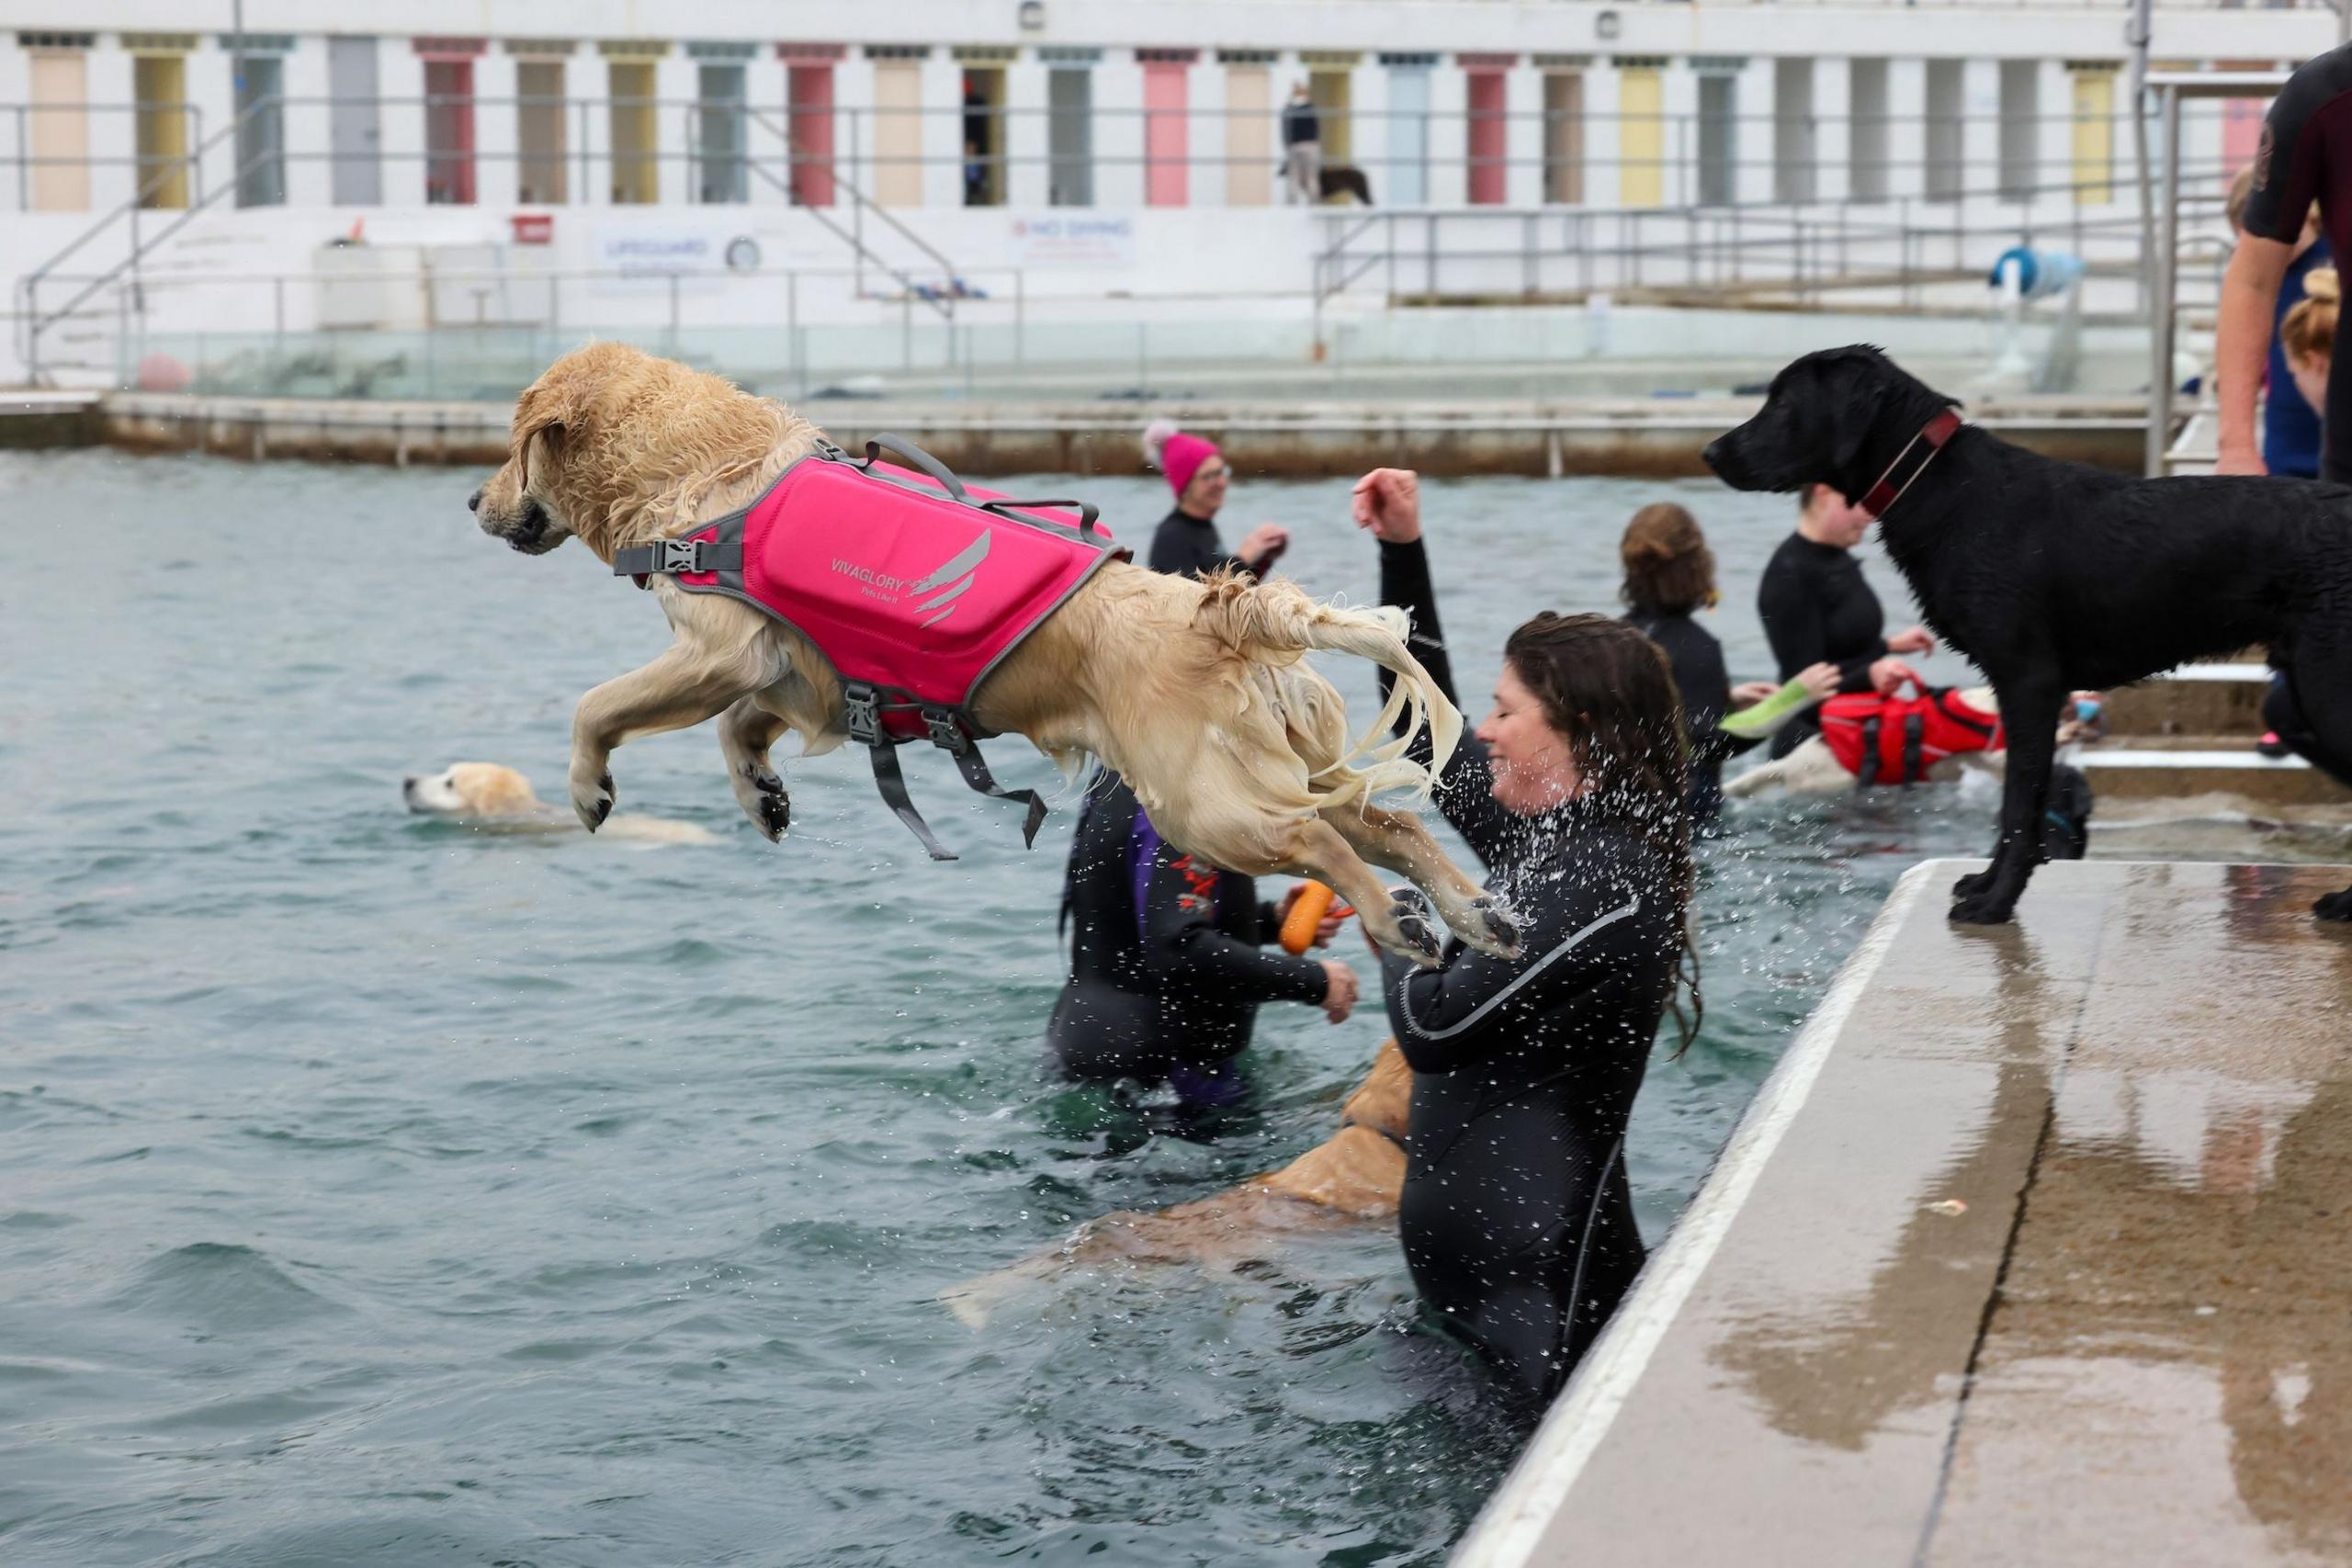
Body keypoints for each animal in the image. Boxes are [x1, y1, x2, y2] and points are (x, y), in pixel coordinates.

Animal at [1712, 345, 2352, 921]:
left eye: (1783, 402)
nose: (1712, 451)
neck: (1945, 489)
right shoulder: (2019, 693)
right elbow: (2016, 806)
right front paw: (1985, 885)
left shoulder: (2029, 680)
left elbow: (2019, 806)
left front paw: (1996, 905)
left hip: (2326, 689)